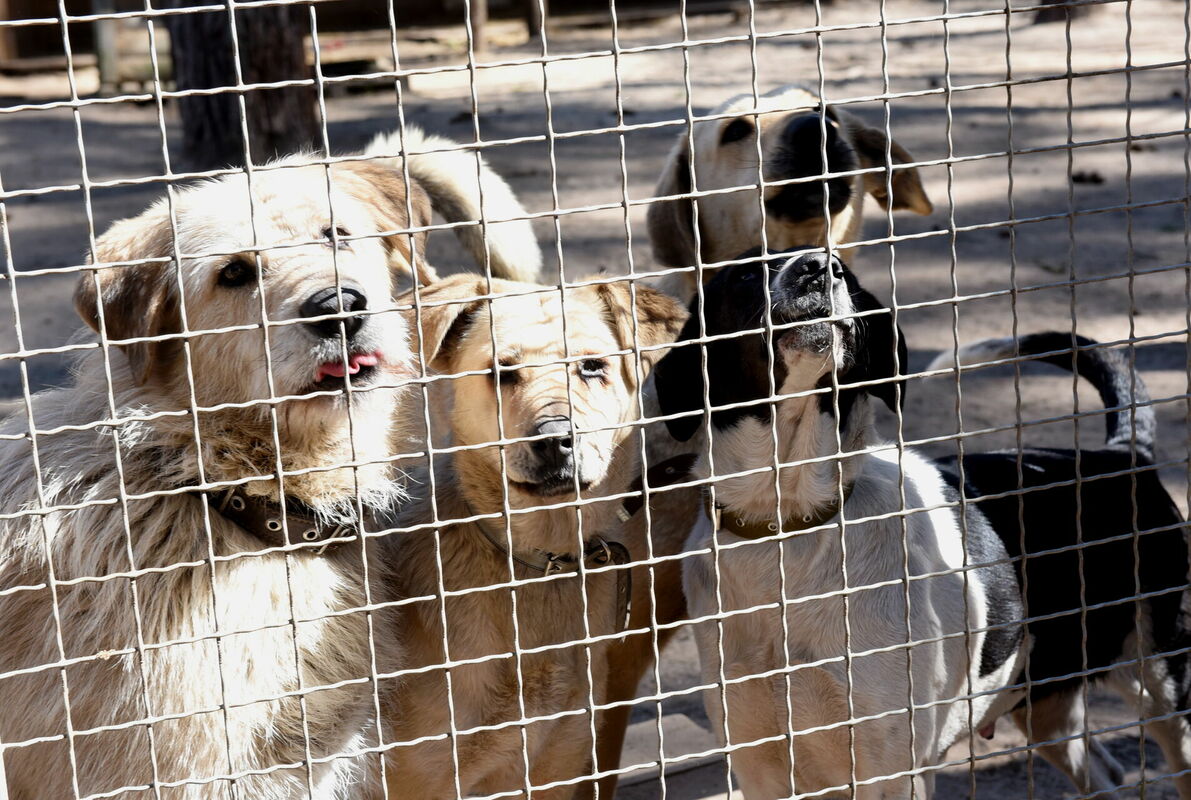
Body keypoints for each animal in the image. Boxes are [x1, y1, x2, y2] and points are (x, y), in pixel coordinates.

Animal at [652, 246, 1191, 795]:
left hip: (1163, 683)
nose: (820, 267)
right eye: (744, 273)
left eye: (846, 274)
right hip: (1045, 702)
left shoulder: (893, 770)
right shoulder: (761, 766)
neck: (788, 523)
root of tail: (1123, 456)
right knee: (1105, 770)